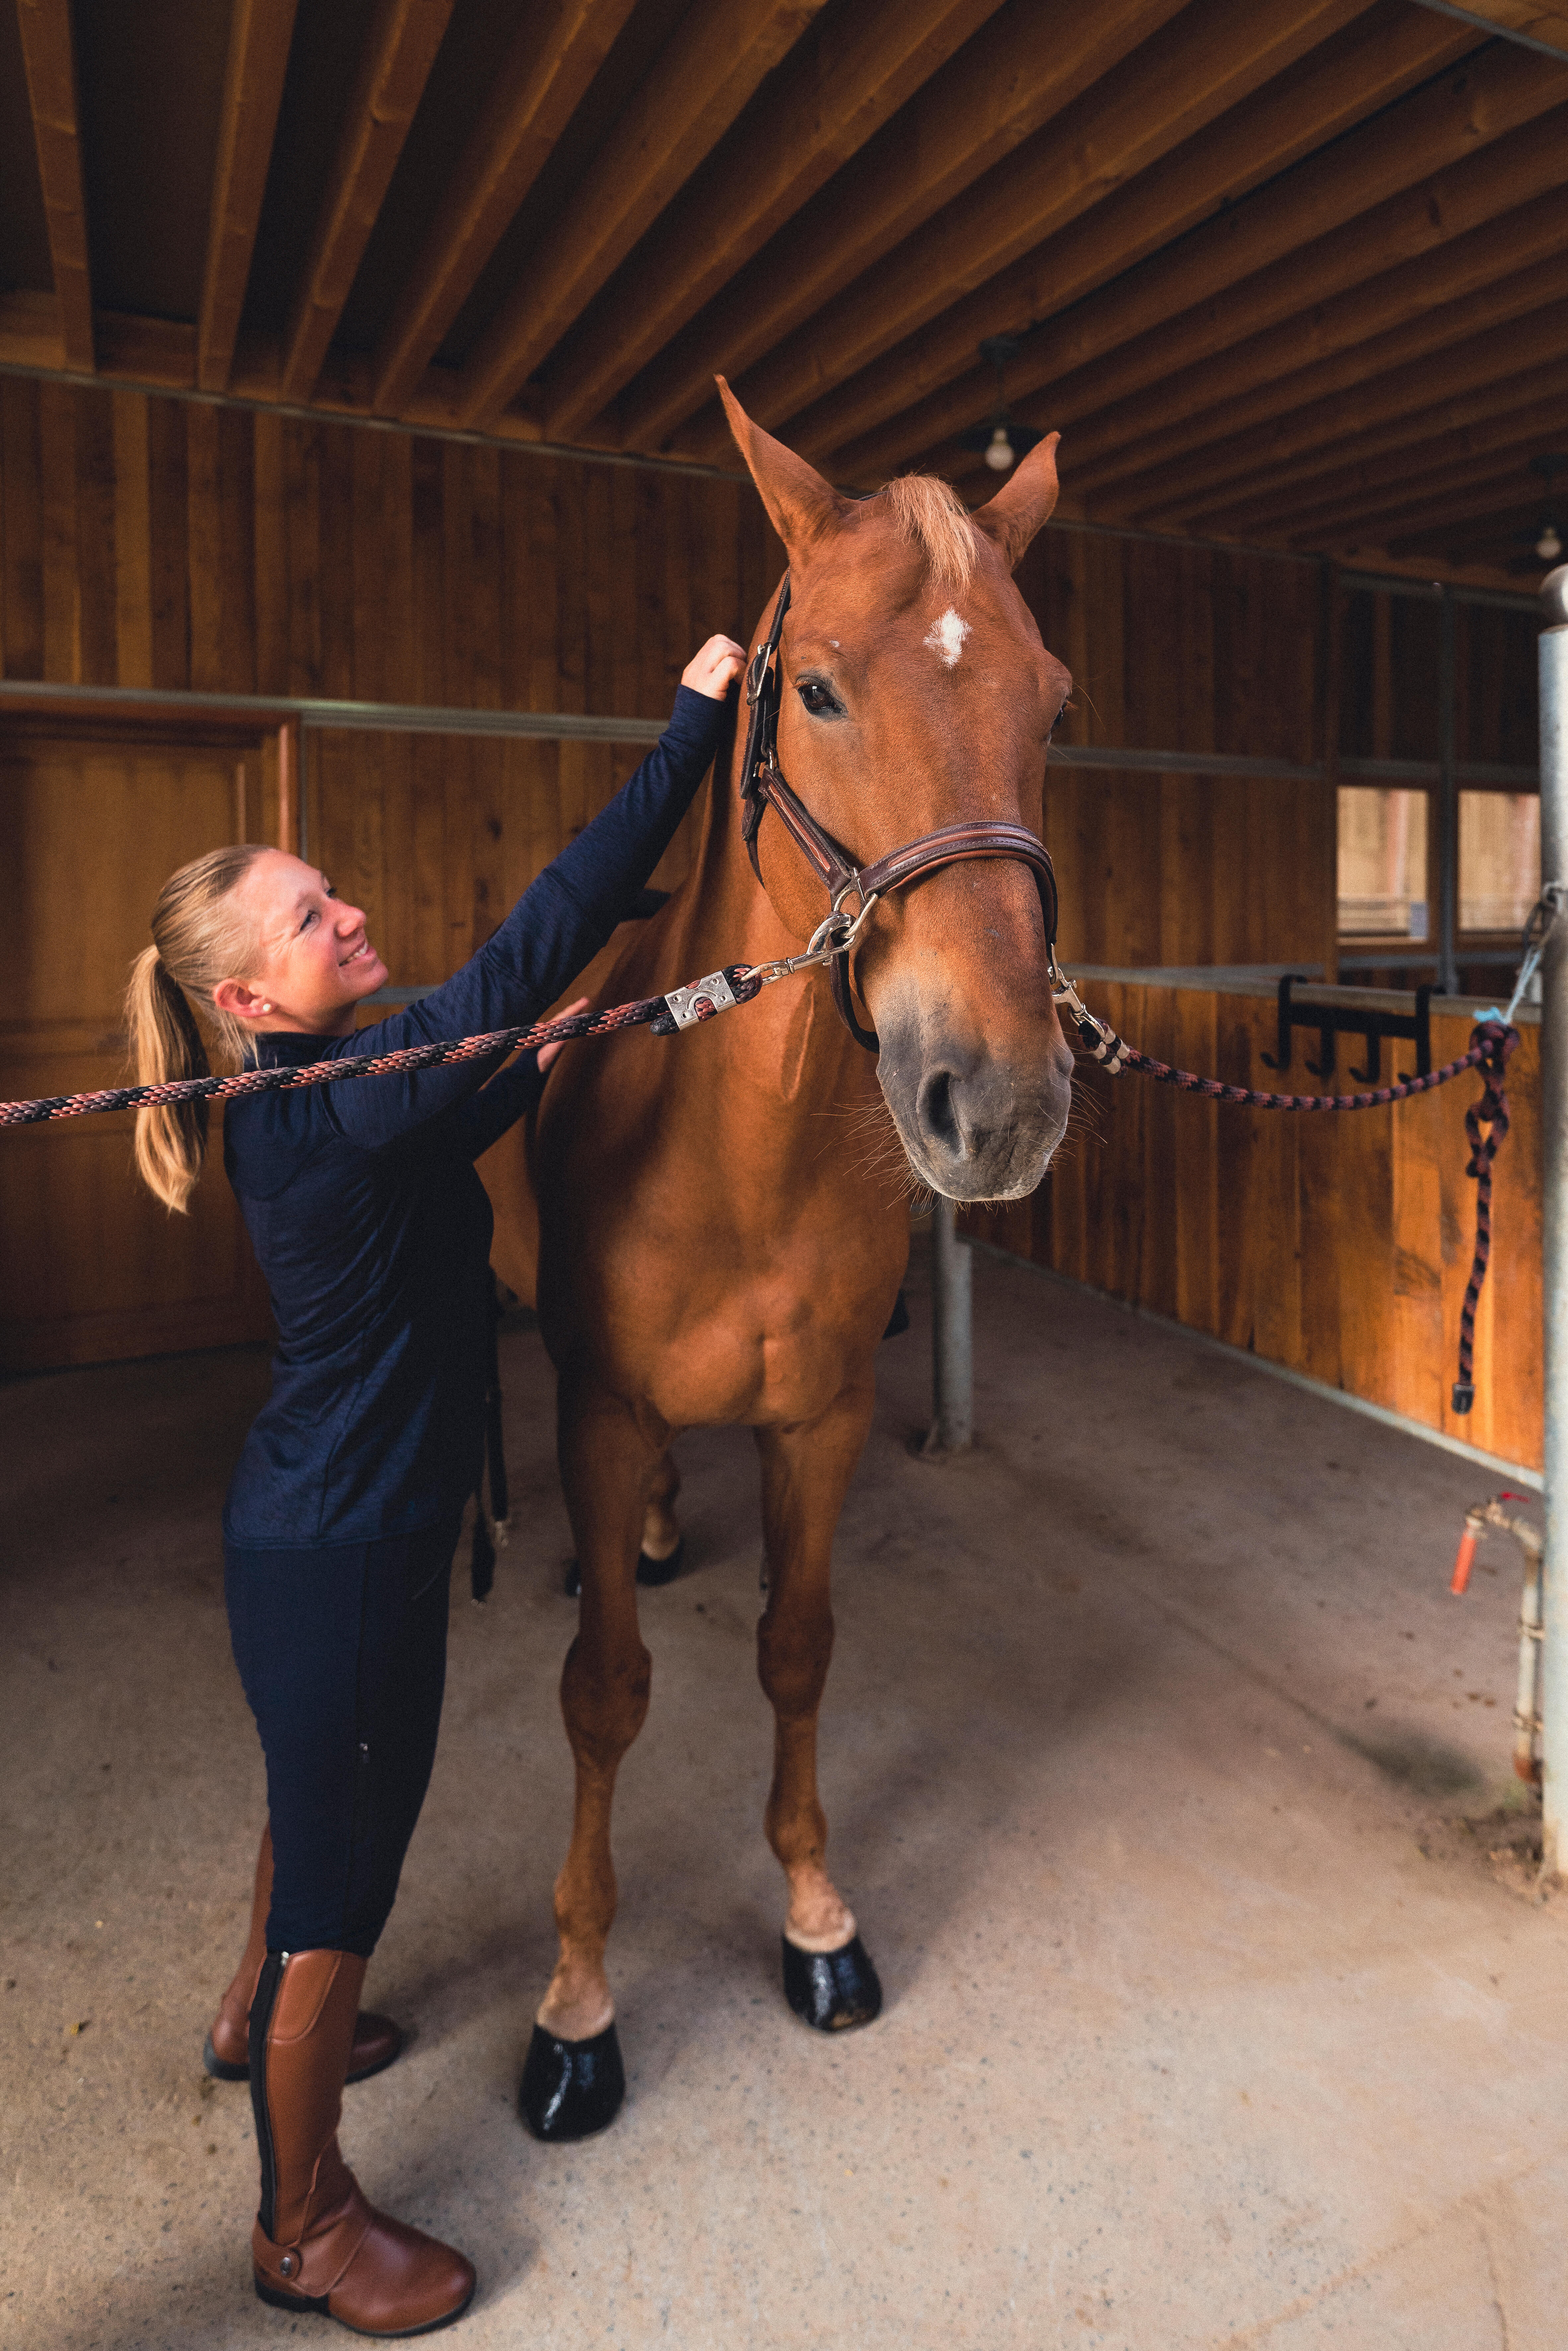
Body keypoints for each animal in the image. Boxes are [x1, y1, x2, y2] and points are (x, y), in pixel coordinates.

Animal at [491, 385, 1081, 2135]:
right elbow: (604, 1694)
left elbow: (797, 1650)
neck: (740, 1160)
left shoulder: (816, 1426)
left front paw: (818, 1921)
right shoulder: (600, 1410)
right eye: (813, 687)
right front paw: (577, 2005)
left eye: (1053, 702)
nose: (998, 1100)